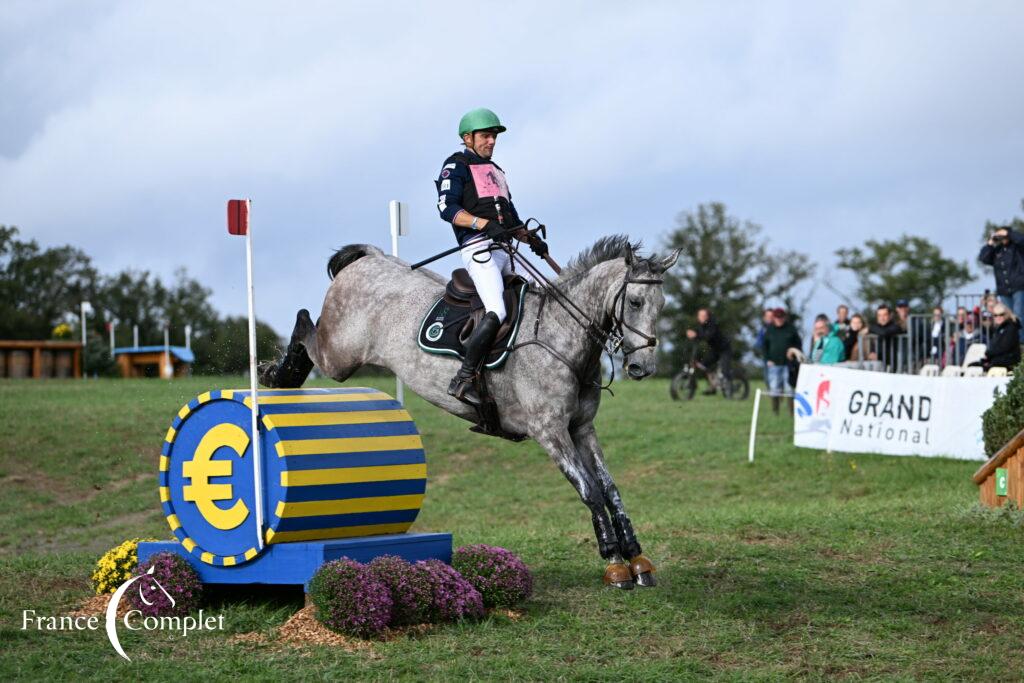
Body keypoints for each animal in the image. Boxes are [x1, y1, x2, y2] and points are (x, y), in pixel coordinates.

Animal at [262, 235, 679, 589]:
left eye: (662, 305)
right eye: (635, 302)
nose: (642, 368)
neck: (560, 336)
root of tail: (369, 258)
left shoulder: (582, 428)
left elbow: (610, 488)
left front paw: (636, 558)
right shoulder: (549, 431)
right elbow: (589, 491)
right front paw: (613, 561)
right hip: (340, 356)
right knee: (305, 324)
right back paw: (277, 373)